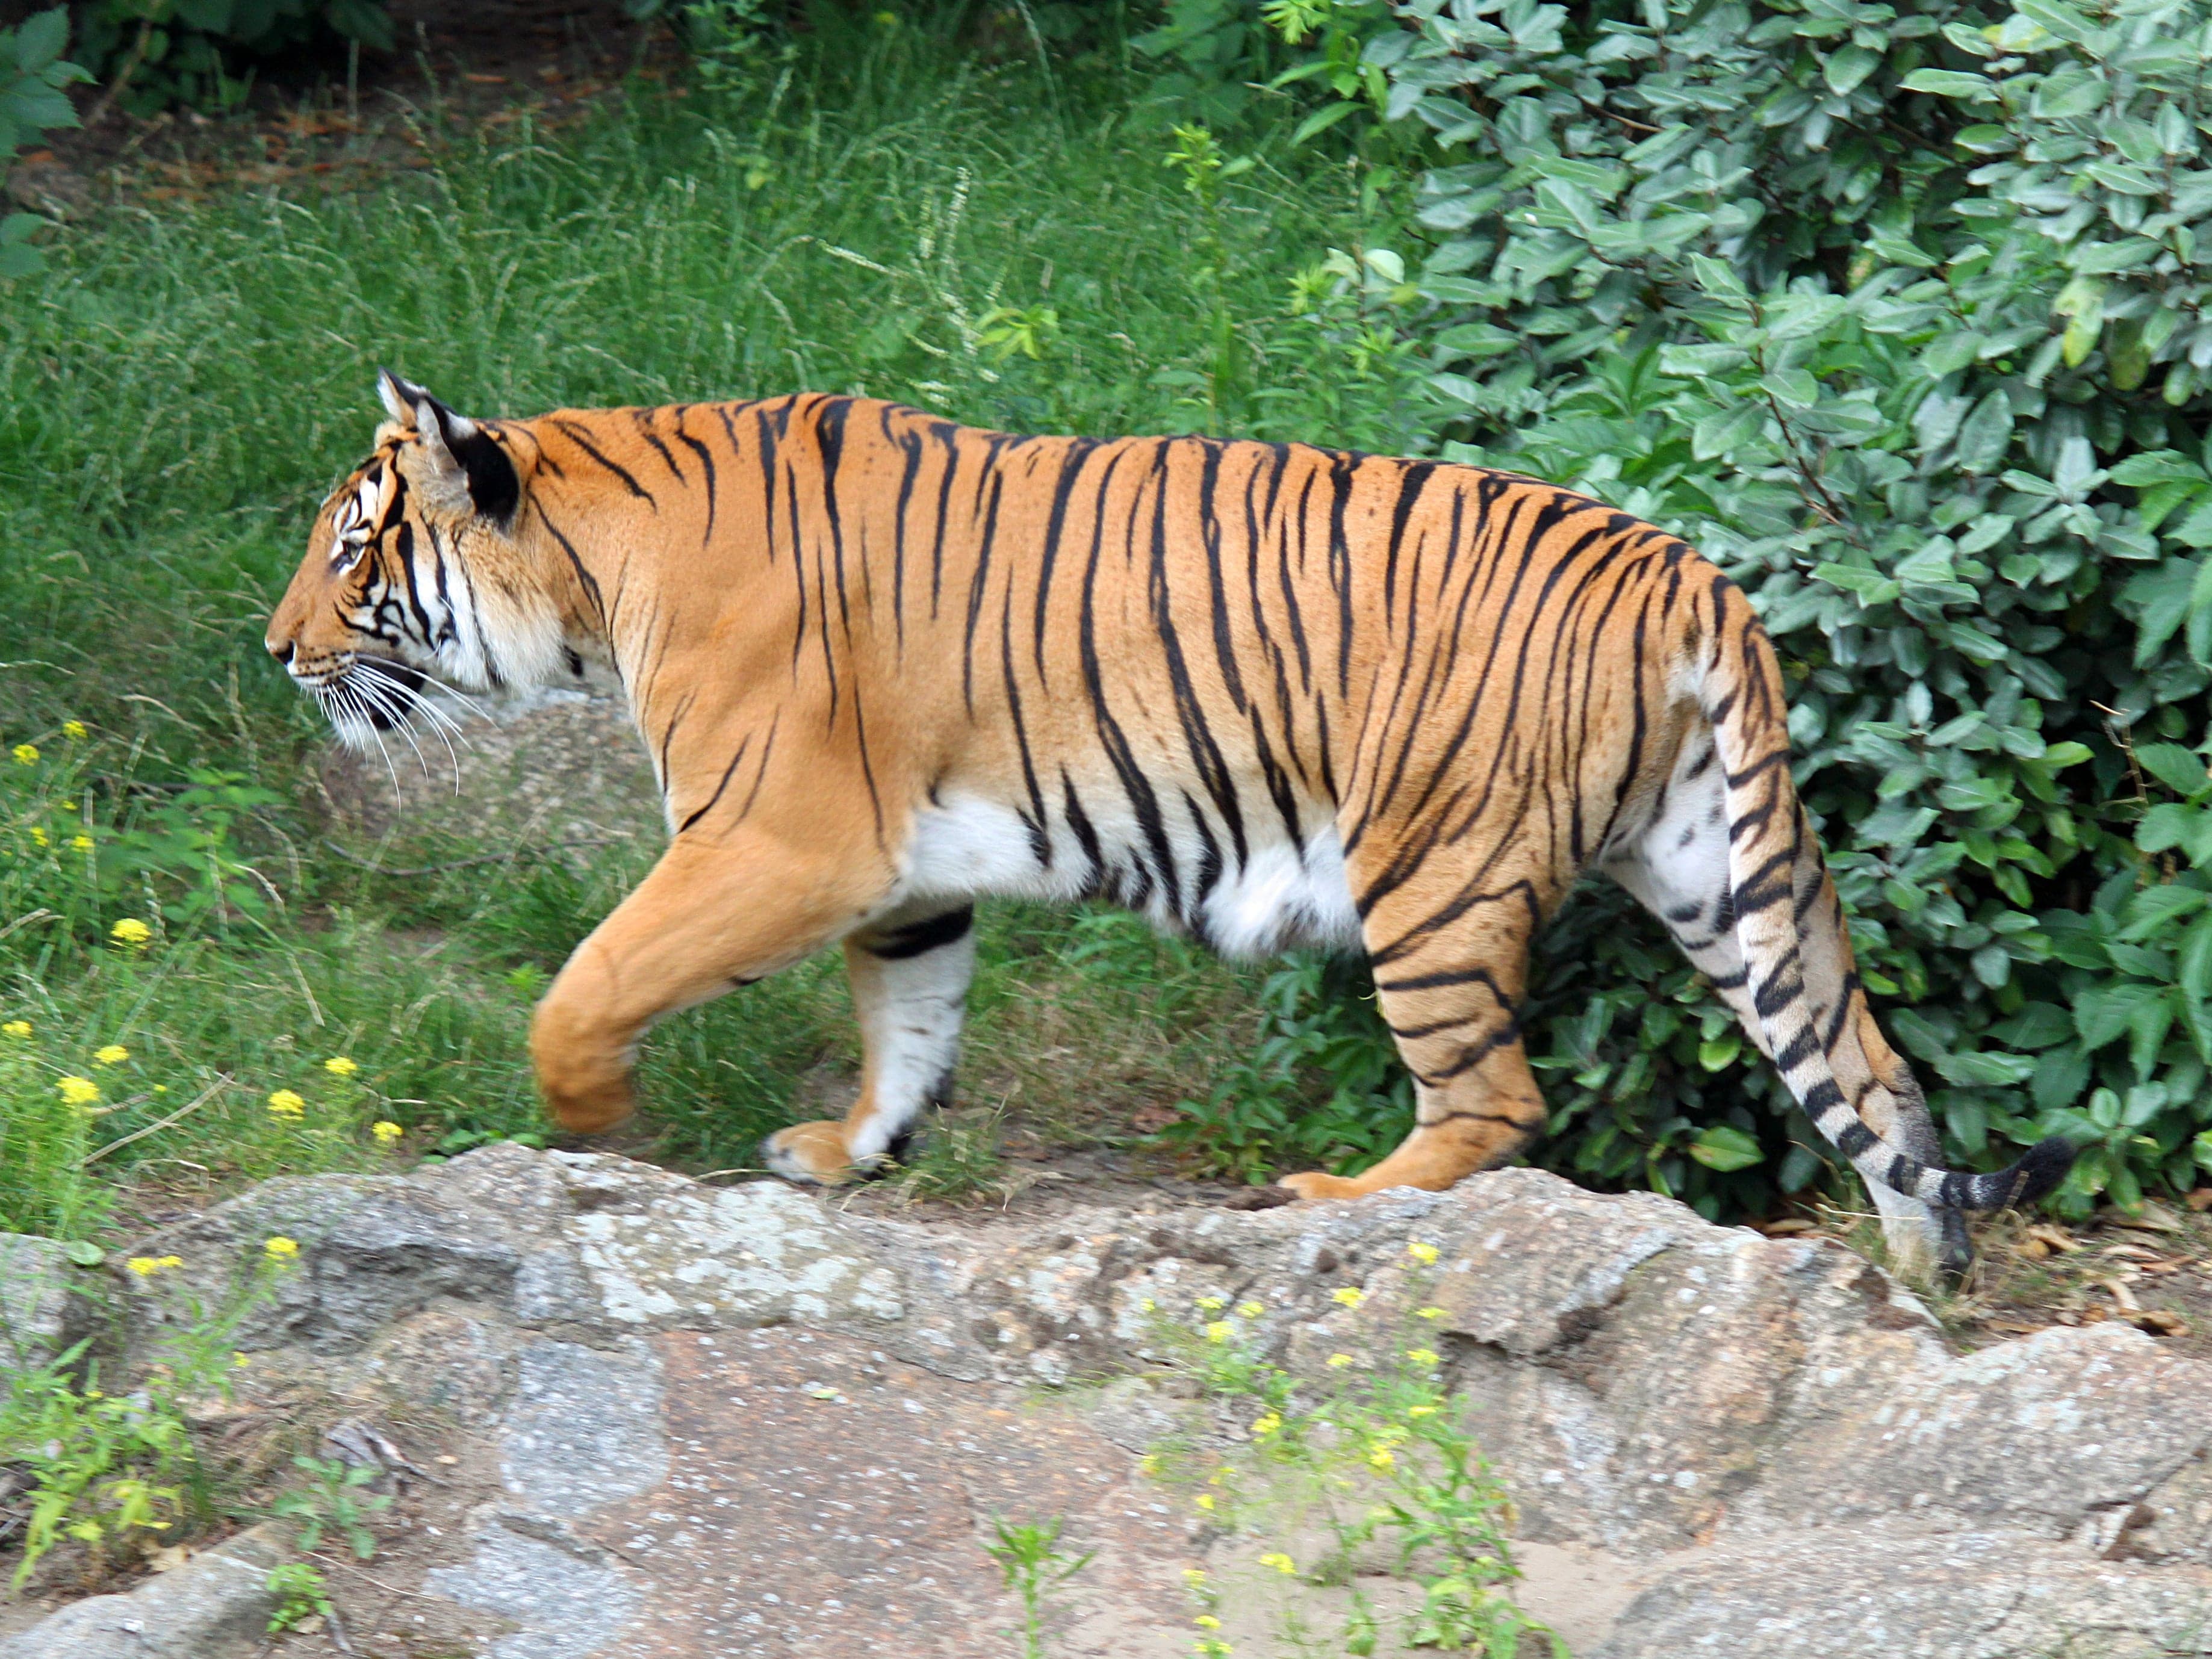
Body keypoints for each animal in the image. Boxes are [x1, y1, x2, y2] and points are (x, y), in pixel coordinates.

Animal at [265, 370, 2073, 1279]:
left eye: (354, 553)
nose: (277, 650)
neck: (595, 571)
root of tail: (1686, 570)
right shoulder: (898, 878)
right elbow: (909, 1024)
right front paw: (849, 1149)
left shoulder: (773, 842)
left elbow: (584, 982)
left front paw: (598, 1127)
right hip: (1719, 875)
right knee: (1872, 1079)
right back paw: (1925, 1278)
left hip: (1428, 873)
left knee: (1494, 1099)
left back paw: (1328, 1199)